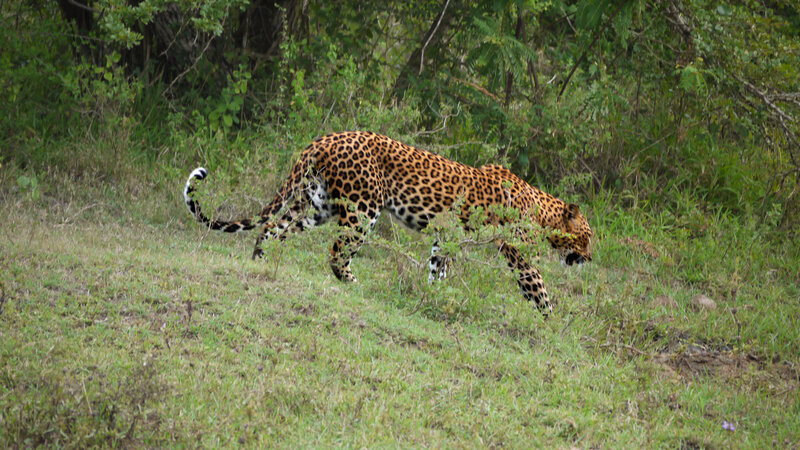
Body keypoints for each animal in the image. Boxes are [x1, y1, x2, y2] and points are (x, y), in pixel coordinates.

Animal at [183, 131, 592, 316]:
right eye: (586, 238)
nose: (588, 259)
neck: (542, 210)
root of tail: (324, 138)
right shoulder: (516, 251)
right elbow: (537, 285)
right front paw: (553, 323)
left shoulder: (446, 238)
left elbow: (437, 268)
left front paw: (435, 297)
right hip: (364, 208)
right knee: (336, 253)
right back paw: (354, 284)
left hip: (316, 204)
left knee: (273, 229)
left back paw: (262, 264)